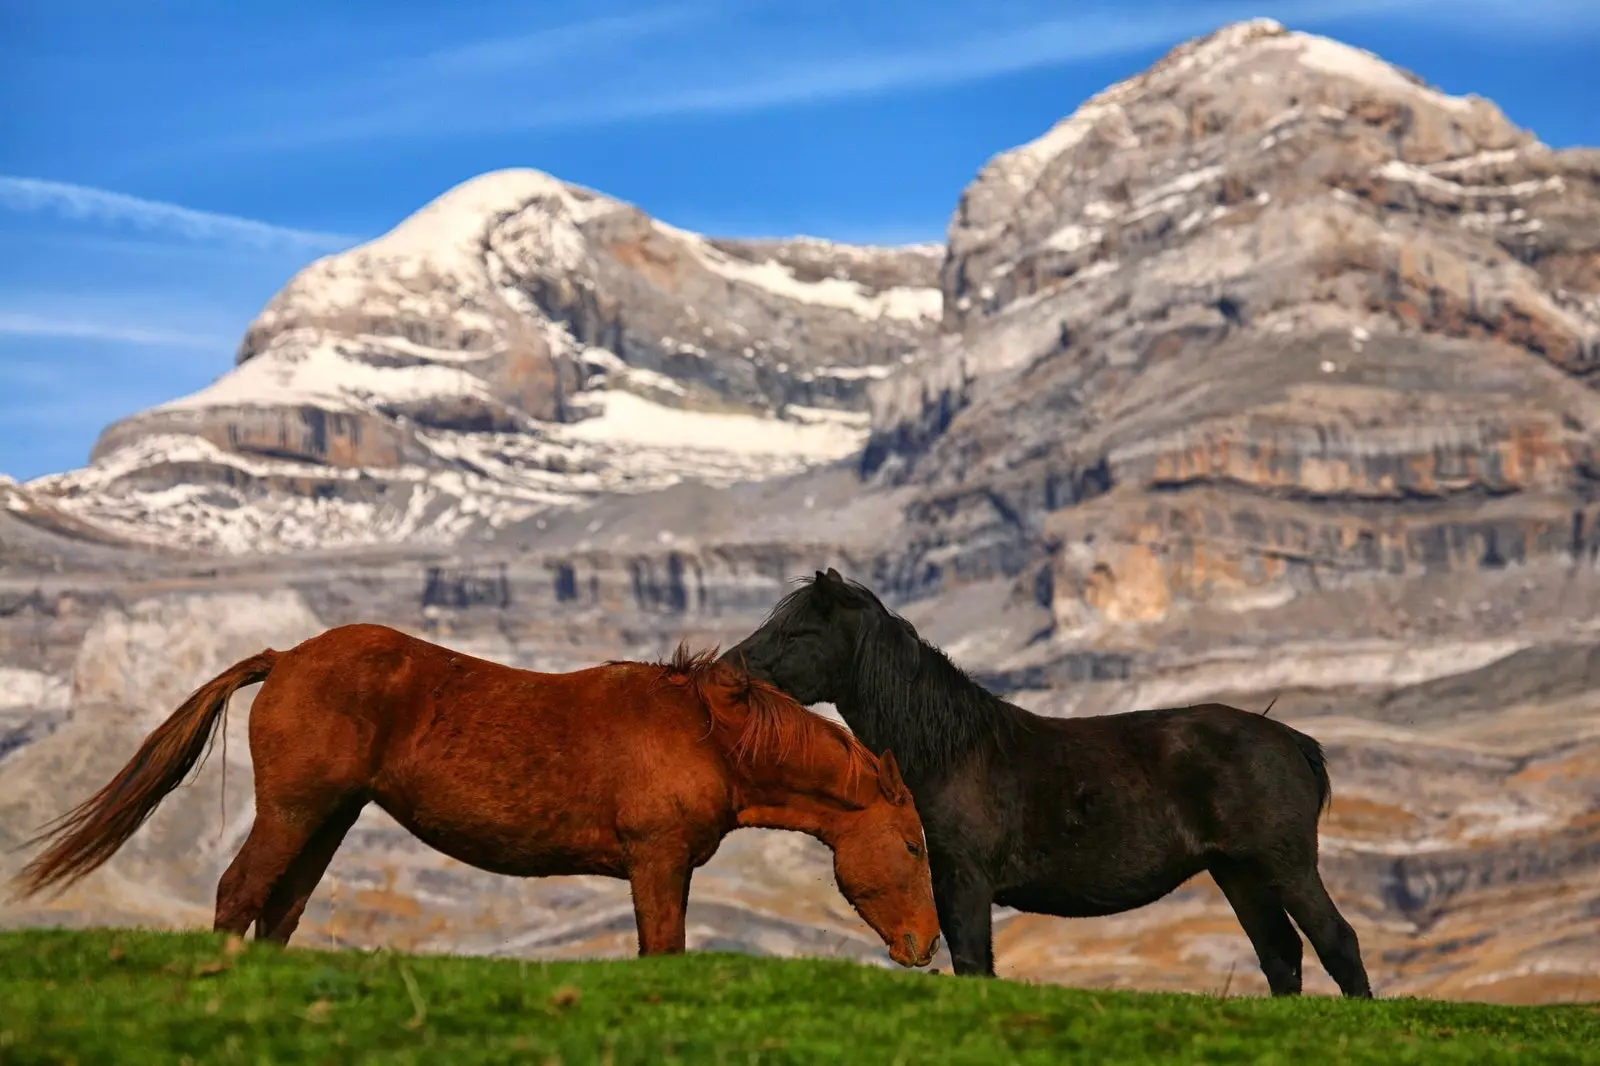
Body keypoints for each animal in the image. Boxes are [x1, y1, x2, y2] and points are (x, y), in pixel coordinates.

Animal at [6, 624, 940, 960]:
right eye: (912, 843)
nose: (925, 945)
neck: (707, 733)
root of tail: (286, 656)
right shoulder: (658, 861)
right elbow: (662, 951)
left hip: (329, 820)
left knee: (280, 909)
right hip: (296, 811)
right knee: (240, 894)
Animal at [726, 569, 1376, 992]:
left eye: (798, 632)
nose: (729, 669)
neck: (947, 750)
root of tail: (1293, 742)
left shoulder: (964, 878)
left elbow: (972, 962)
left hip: (1285, 865)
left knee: (1336, 942)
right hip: (1236, 872)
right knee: (1280, 954)